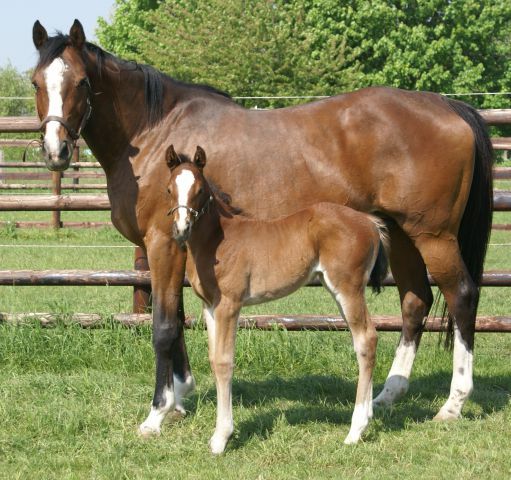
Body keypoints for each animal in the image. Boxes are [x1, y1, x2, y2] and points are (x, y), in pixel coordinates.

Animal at [166, 144, 390, 452]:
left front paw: (221, 437)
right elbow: (213, 359)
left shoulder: (229, 305)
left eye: (199, 189)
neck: (218, 241)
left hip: (348, 287)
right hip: (338, 288)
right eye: (169, 189)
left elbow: (224, 362)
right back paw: (365, 417)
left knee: (366, 339)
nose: (181, 229)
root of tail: (369, 222)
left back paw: (355, 430)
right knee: (363, 340)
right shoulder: (209, 307)